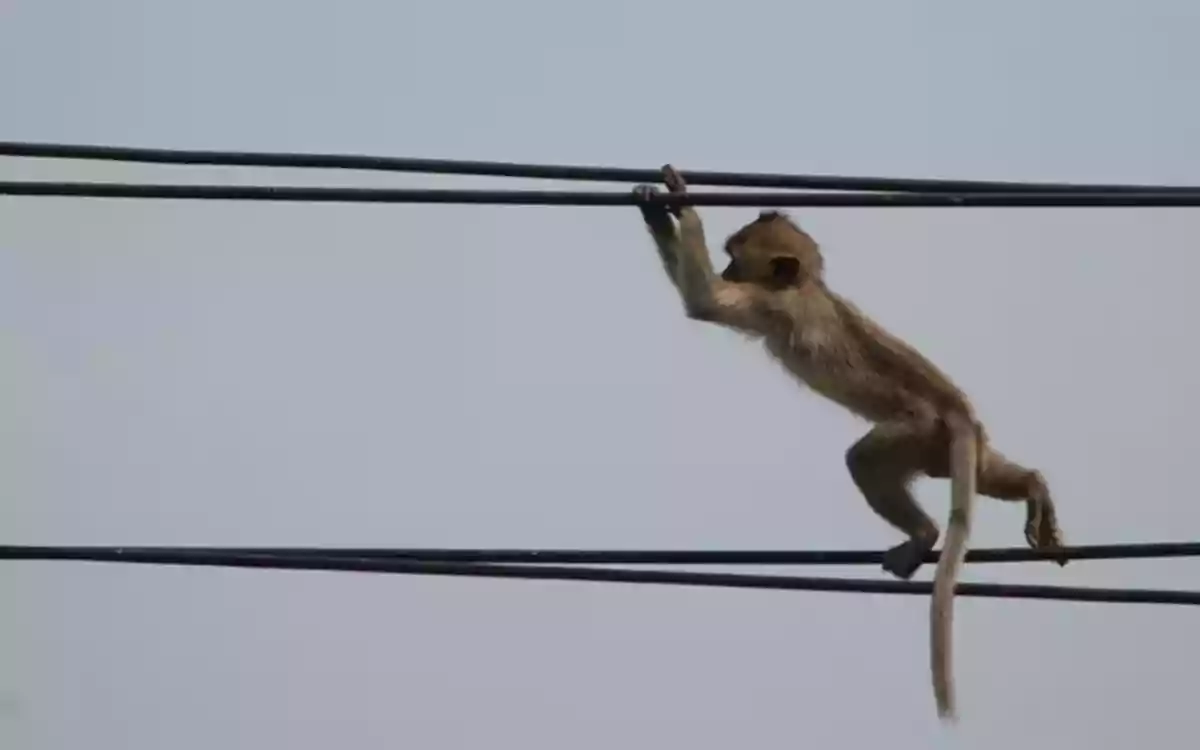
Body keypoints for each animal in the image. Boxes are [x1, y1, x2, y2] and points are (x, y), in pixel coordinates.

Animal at [631, 165, 1066, 722]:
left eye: (734, 258)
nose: (729, 270)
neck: (806, 286)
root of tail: (958, 412)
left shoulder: (768, 304)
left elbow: (704, 301)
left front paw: (674, 202)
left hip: (917, 429)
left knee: (863, 459)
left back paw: (924, 533)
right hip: (943, 446)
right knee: (985, 472)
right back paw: (1034, 487)